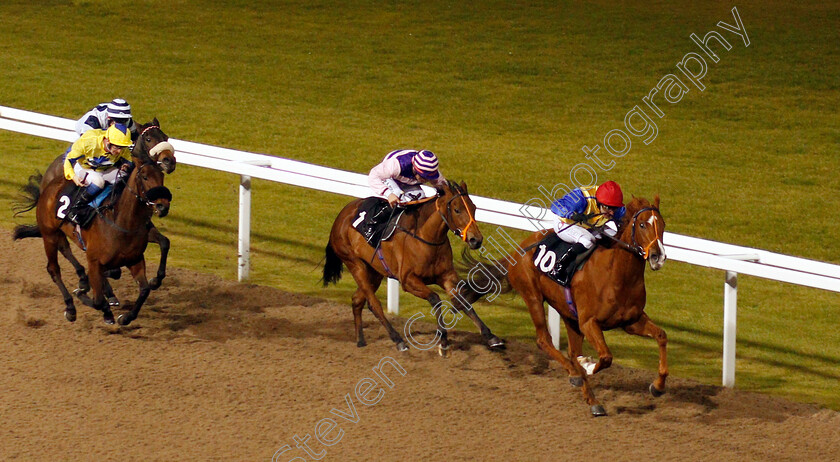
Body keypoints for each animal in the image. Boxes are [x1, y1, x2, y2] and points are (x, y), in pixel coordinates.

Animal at [14, 151, 172, 324]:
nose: (163, 206)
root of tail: (48, 185)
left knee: (65, 249)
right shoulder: (95, 261)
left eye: (161, 176)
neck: (121, 222)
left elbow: (144, 289)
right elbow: (97, 301)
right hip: (49, 234)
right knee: (54, 269)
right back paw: (71, 306)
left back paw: (84, 280)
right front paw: (88, 296)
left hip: (60, 233)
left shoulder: (134, 259)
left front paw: (126, 317)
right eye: (144, 177)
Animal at [37, 119, 176, 300]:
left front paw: (156, 280)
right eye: (148, 139)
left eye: (165, 137)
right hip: (53, 228)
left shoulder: (143, 229)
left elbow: (164, 242)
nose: (169, 162)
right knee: (63, 249)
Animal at [324, 180, 506, 354]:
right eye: (457, 210)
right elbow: (435, 298)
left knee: (357, 300)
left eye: (474, 208)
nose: (476, 240)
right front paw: (443, 340)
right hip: (355, 264)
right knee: (374, 304)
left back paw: (360, 341)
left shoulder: (446, 276)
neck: (426, 237)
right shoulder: (408, 280)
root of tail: (340, 216)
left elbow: (463, 301)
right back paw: (399, 340)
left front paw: (491, 337)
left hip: (374, 271)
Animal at [462, 195, 668, 416]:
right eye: (642, 224)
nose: (658, 257)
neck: (618, 276)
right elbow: (605, 357)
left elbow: (661, 336)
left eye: (663, 225)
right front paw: (587, 365)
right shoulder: (589, 322)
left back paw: (593, 400)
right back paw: (575, 374)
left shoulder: (631, 321)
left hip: (569, 315)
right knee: (544, 340)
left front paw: (657, 386)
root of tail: (518, 251)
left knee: (571, 351)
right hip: (533, 296)